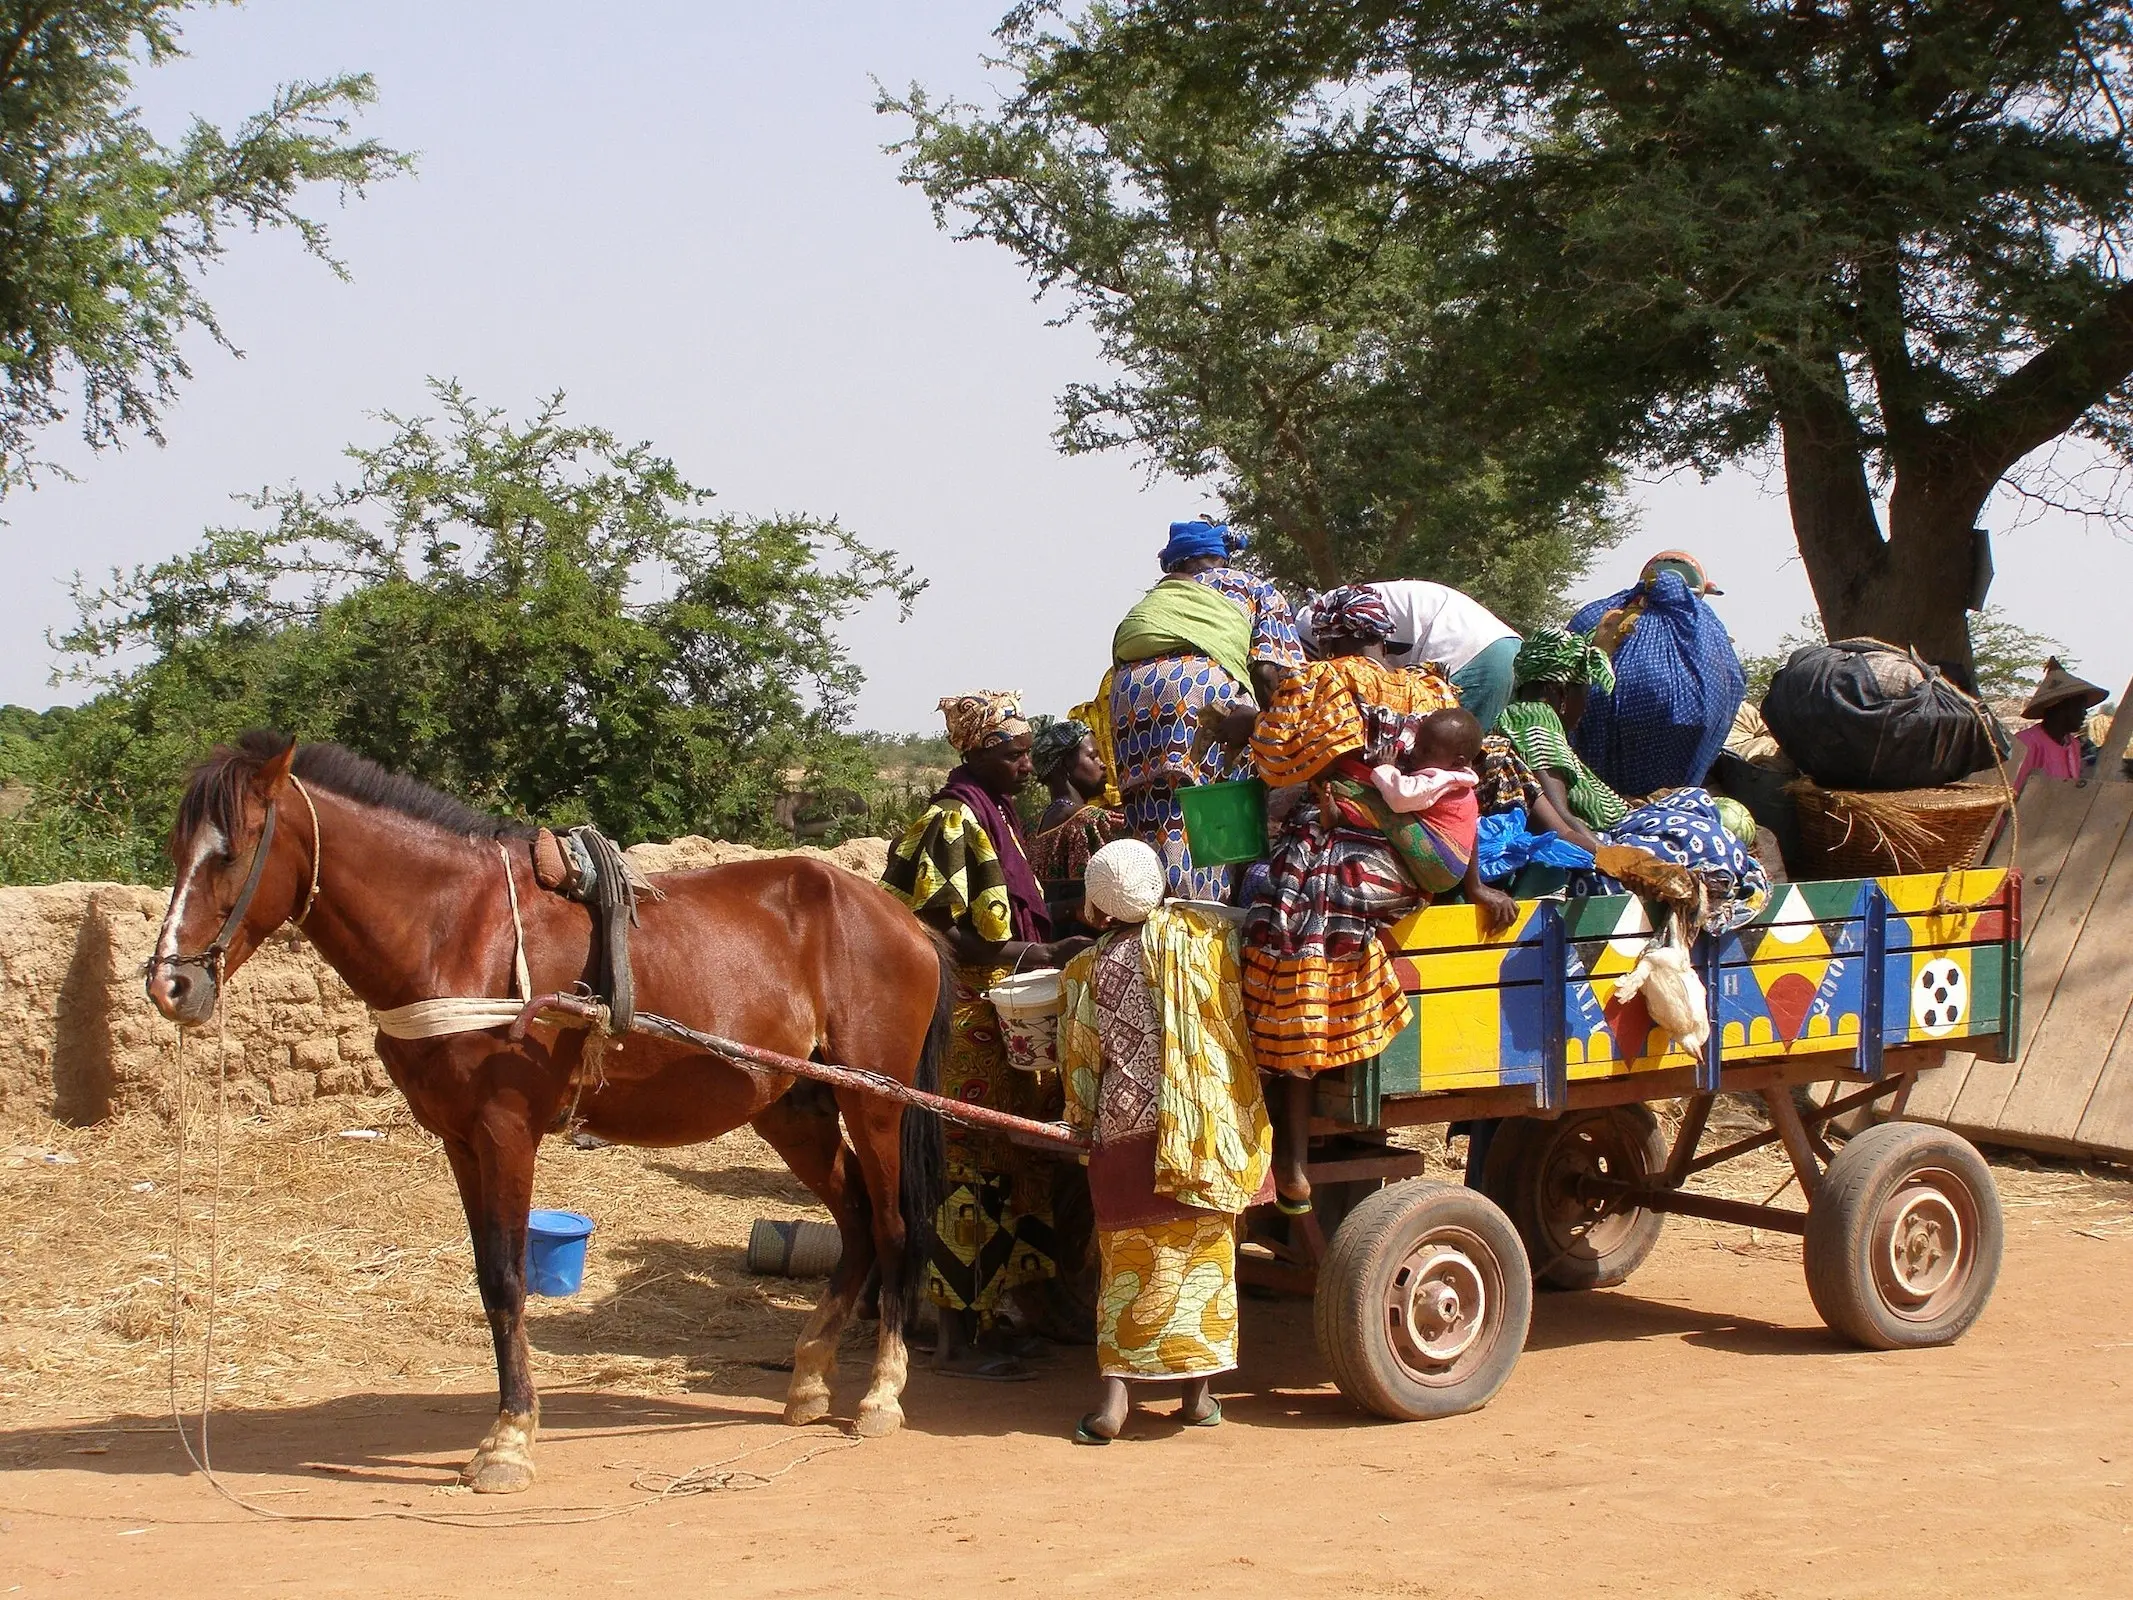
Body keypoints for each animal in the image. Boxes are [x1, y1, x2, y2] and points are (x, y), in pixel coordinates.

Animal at [146, 733, 947, 1501]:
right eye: (178, 851)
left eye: (232, 850)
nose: (169, 985)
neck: (456, 933)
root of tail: (899, 918)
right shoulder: (459, 1140)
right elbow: (487, 1280)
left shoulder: (505, 1133)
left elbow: (507, 1278)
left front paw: (507, 1441)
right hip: (792, 1108)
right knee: (852, 1218)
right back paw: (810, 1375)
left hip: (874, 1101)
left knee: (891, 1226)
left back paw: (881, 1392)